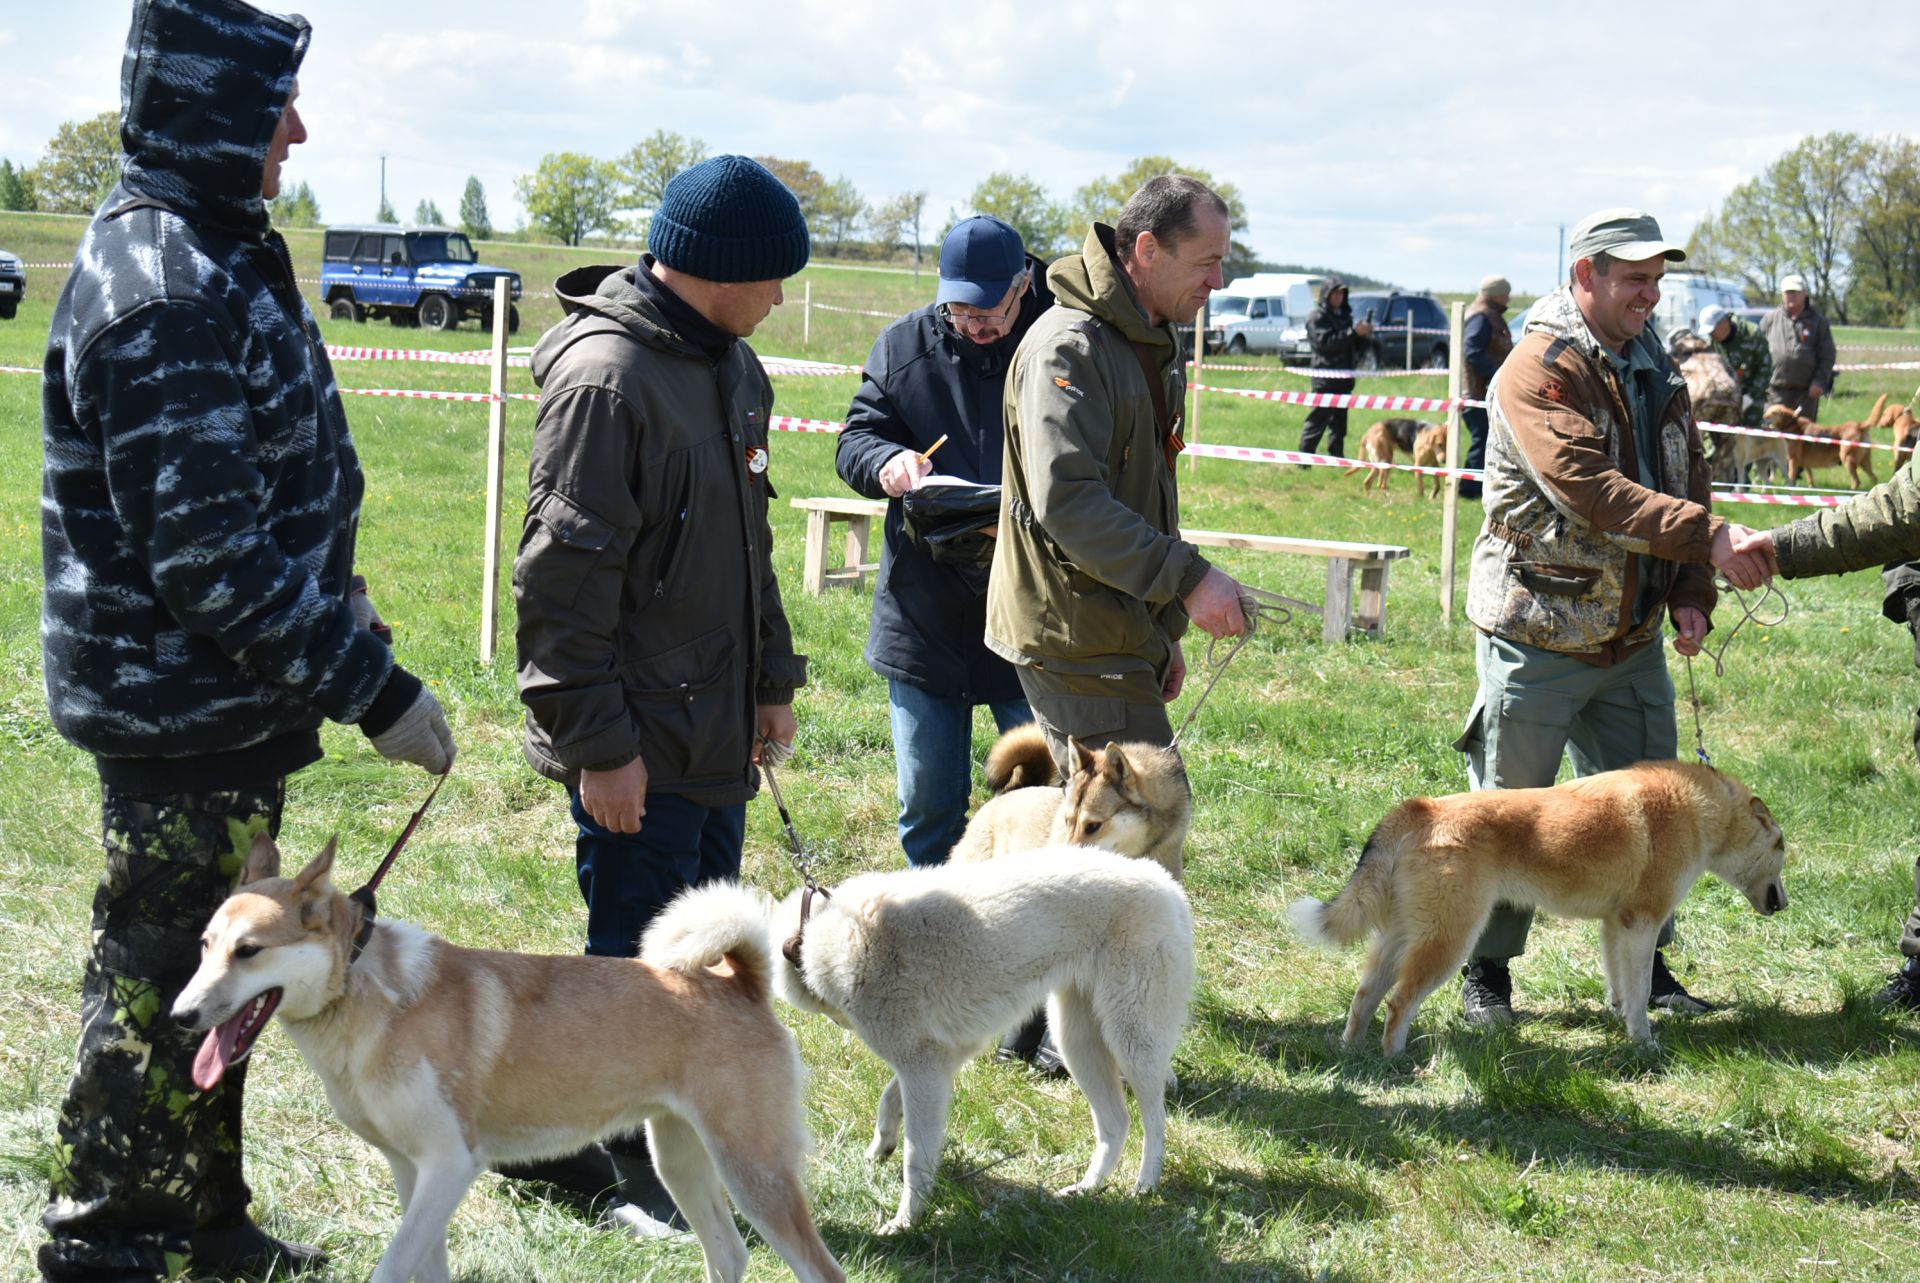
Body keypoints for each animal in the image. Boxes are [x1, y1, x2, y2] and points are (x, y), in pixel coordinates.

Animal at [170, 837, 840, 1283]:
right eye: (203, 946)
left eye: (248, 951)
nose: (179, 1016)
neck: (366, 991)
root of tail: (738, 982)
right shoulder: (412, 1172)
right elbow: (422, 1268)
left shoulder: (450, 1165)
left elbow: (391, 1268)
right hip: (681, 1161)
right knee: (729, 1253)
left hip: (753, 1173)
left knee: (818, 1269)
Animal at [760, 852, 1182, 1229]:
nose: (840, 1020)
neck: (824, 934)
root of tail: (1165, 882)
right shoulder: (939, 1062)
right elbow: (888, 1101)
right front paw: (880, 1149)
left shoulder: (922, 1070)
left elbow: (916, 1158)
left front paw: (906, 1222)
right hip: (1076, 1042)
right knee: (1117, 1123)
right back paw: (1087, 1188)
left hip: (1132, 1042)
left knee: (1154, 1120)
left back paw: (1145, 1185)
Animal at [1290, 760, 1781, 1052]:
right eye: (1782, 848)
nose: (1785, 903)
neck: (1698, 809)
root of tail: (1418, 810)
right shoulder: (1643, 922)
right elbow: (1640, 992)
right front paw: (1644, 1043)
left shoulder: (1616, 925)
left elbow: (1621, 987)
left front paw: (1622, 1024)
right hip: (1447, 941)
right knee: (1398, 1004)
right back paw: (1395, 1059)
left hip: (1402, 937)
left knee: (1365, 997)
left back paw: (1353, 1053)